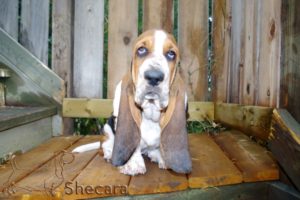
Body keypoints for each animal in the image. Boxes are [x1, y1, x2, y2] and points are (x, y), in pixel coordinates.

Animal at [102, 29, 192, 175]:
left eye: (171, 54)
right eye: (141, 50)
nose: (154, 77)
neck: (150, 109)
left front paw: (163, 157)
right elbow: (135, 143)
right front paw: (133, 164)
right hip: (107, 126)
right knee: (106, 141)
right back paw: (110, 153)